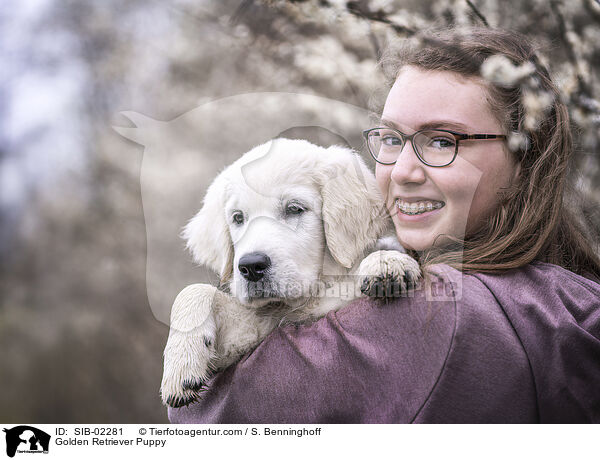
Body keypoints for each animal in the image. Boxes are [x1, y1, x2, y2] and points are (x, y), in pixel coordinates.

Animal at [162, 138, 420, 408]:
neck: (308, 297)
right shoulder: (259, 327)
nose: (251, 267)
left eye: (294, 209)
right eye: (238, 218)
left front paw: (388, 262)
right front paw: (180, 365)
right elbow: (193, 290)